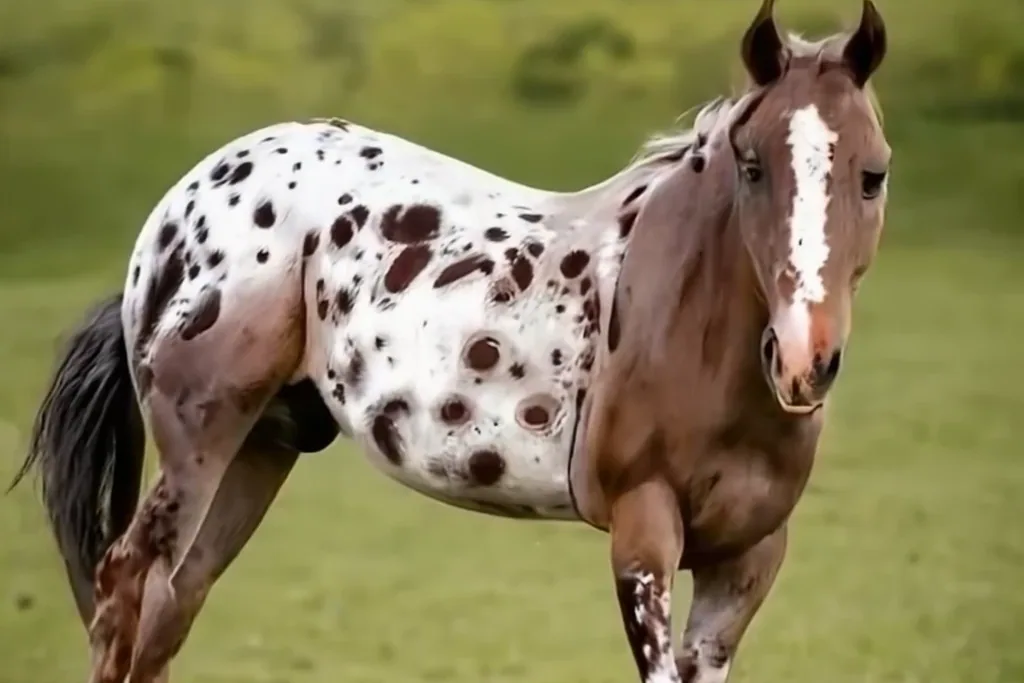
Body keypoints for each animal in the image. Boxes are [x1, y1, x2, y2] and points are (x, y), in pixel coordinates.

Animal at [11, 1, 889, 681]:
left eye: (873, 173)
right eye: (752, 165)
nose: (804, 361)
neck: (687, 326)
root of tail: (180, 204)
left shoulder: (747, 558)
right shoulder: (644, 535)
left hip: (261, 448)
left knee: (171, 606)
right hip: (199, 440)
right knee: (123, 588)